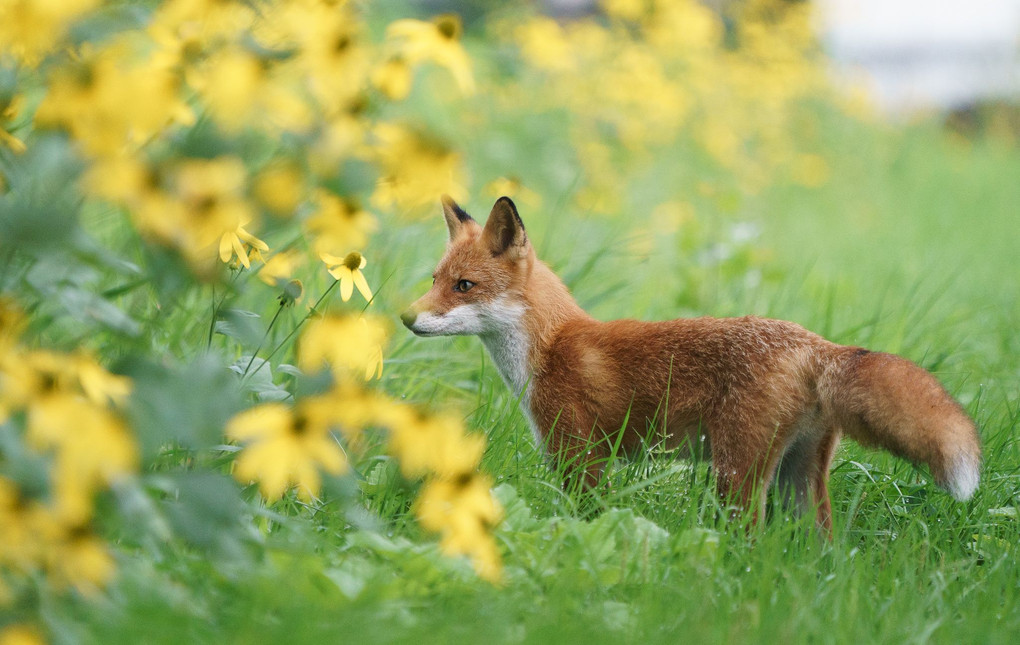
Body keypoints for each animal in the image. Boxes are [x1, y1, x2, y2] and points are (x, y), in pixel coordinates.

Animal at [397, 197, 979, 534]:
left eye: (464, 286)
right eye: (434, 280)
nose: (405, 317)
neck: (550, 345)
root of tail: (816, 343)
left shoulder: (581, 457)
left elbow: (583, 522)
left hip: (736, 475)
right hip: (798, 481)